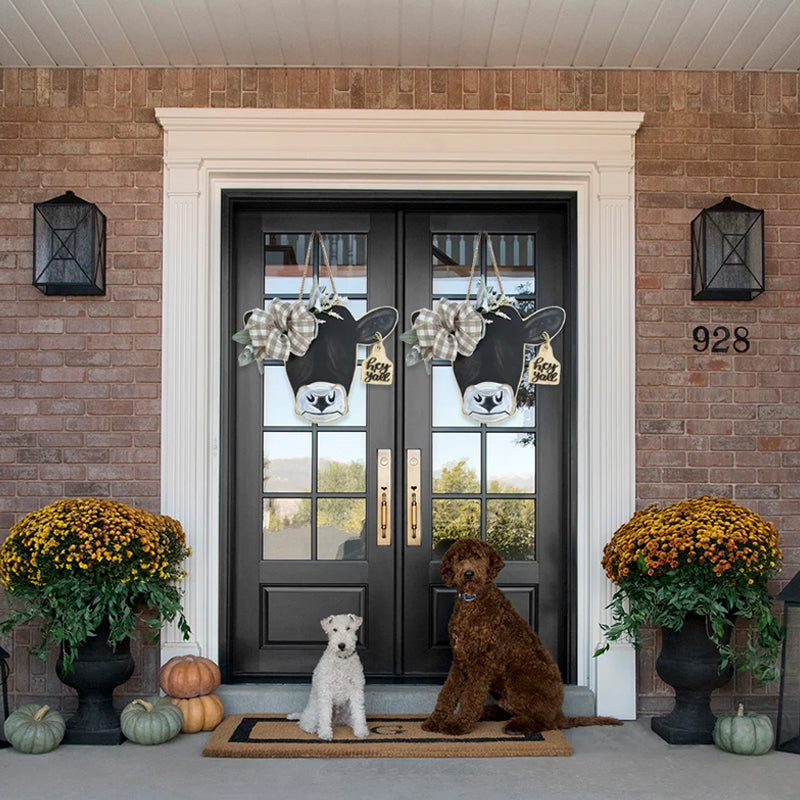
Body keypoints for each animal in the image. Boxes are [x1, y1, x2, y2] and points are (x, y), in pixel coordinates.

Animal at [422, 536, 620, 736]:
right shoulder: (460, 660)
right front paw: (435, 721)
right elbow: (448, 692)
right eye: (460, 558)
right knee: (511, 710)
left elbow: (471, 696)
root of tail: (560, 713)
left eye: (477, 556)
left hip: (518, 677)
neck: (472, 602)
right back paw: (489, 713)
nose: (468, 574)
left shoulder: (482, 662)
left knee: (545, 721)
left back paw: (517, 725)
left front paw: (458, 724)